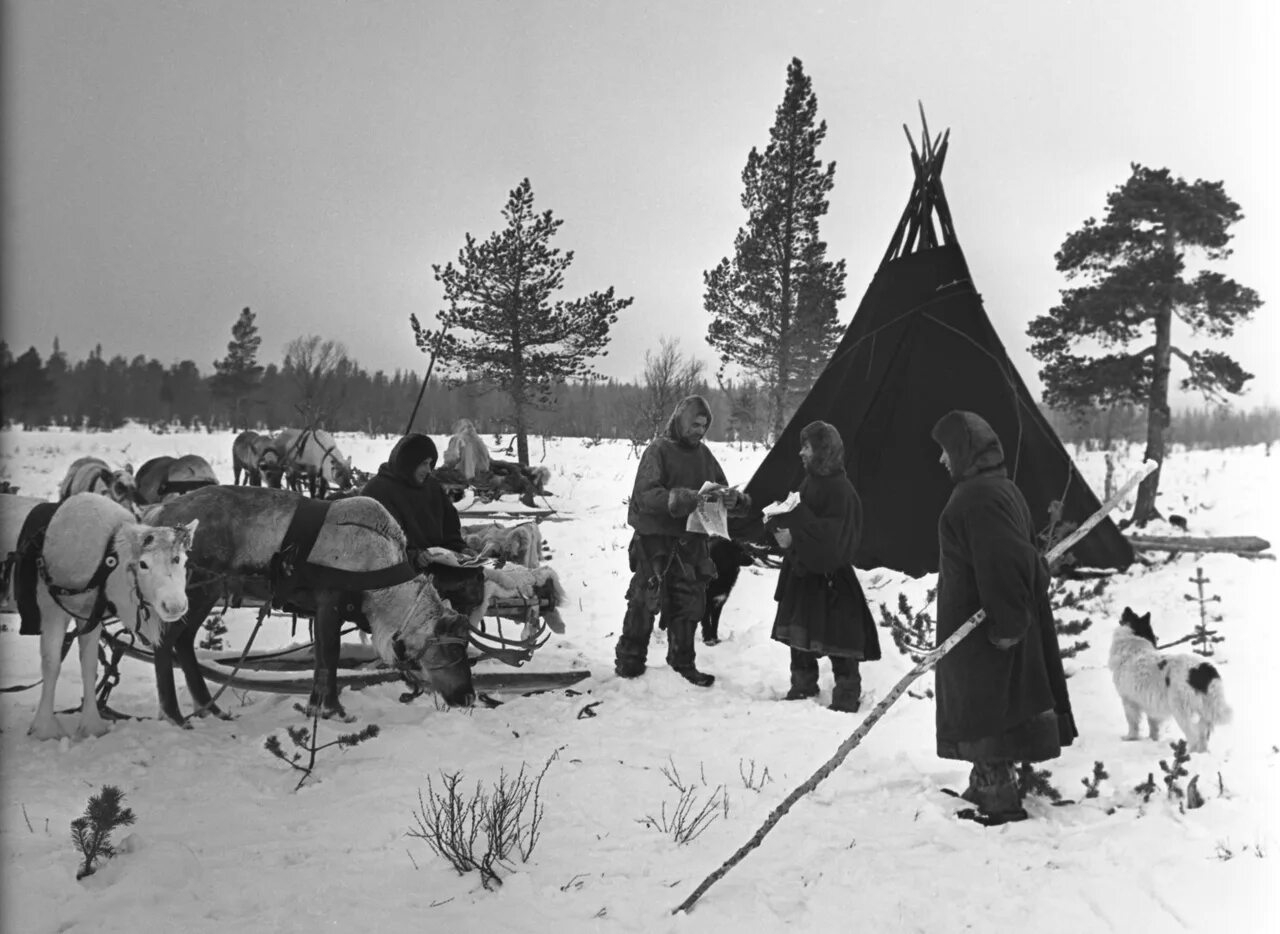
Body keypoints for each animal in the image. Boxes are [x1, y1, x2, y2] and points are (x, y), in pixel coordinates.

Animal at [1105, 606, 1233, 752]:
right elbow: (1153, 725)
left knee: (1193, 736)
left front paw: (1130, 738)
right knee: (1203, 736)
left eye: (1131, 615)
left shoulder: (1128, 701)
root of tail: (1203, 669)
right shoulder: (1151, 704)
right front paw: (1153, 740)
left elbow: (1133, 723)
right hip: (1205, 712)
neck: (1133, 642)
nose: (1127, 607)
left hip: (1180, 710)